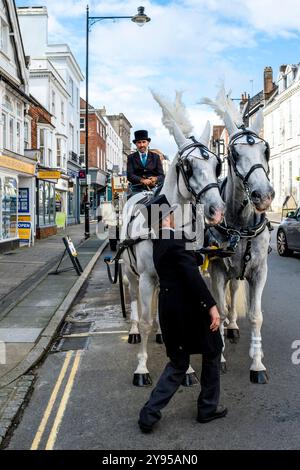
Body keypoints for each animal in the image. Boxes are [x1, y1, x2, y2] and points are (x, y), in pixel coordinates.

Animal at [119, 91, 225, 386]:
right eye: (187, 166)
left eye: (217, 164)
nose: (217, 210)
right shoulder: (146, 276)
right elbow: (145, 319)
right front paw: (141, 368)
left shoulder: (188, 271)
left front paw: (187, 370)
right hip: (131, 273)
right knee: (135, 300)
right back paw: (134, 330)